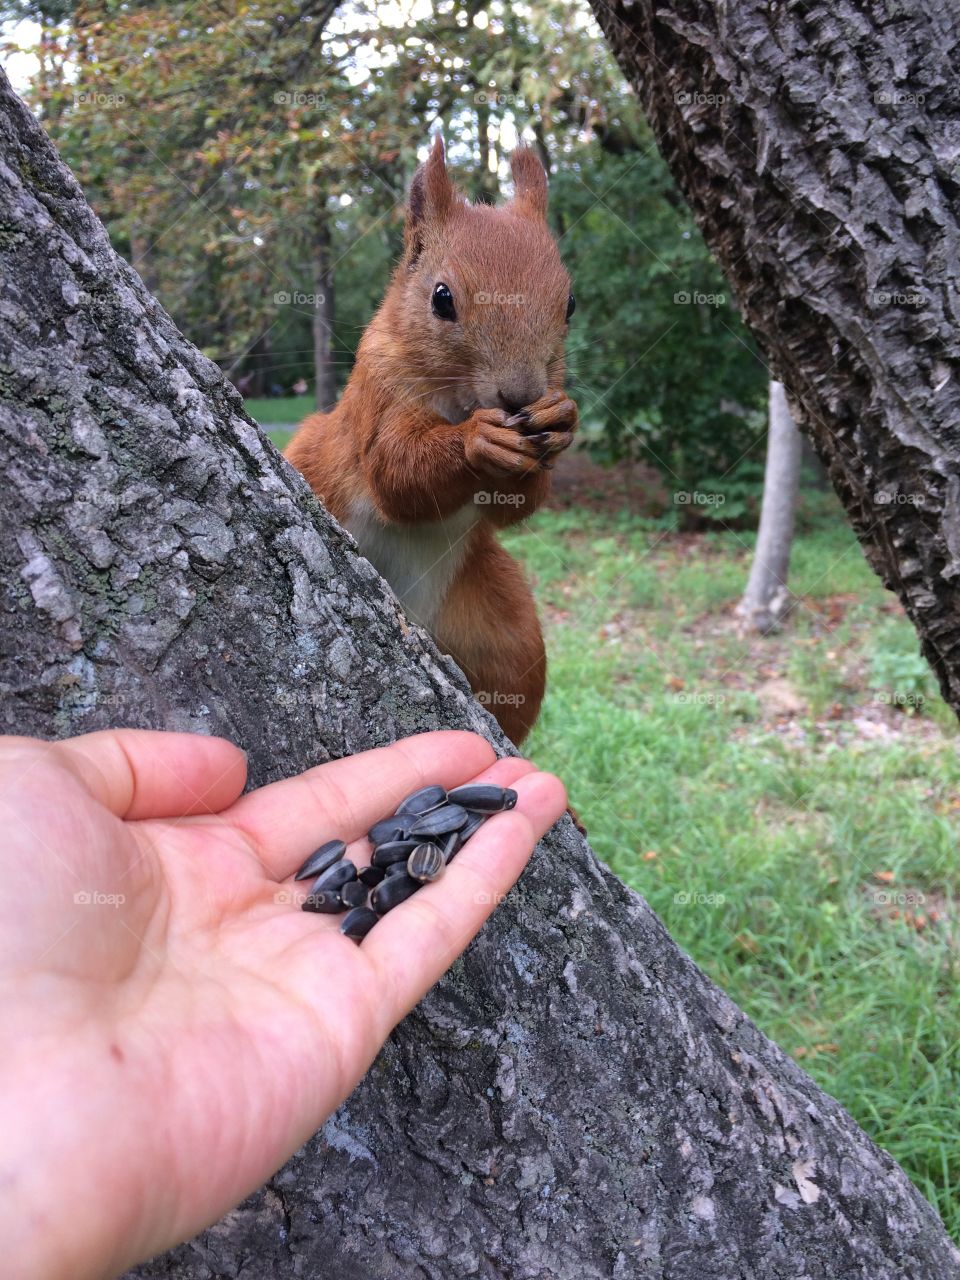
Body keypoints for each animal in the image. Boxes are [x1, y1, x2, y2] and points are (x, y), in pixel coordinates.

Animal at [284, 136, 578, 745]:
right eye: (442, 298)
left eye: (570, 303)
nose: (520, 395)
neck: (458, 403)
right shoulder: (376, 396)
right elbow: (396, 473)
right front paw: (476, 442)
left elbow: (516, 507)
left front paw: (561, 419)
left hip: (503, 630)